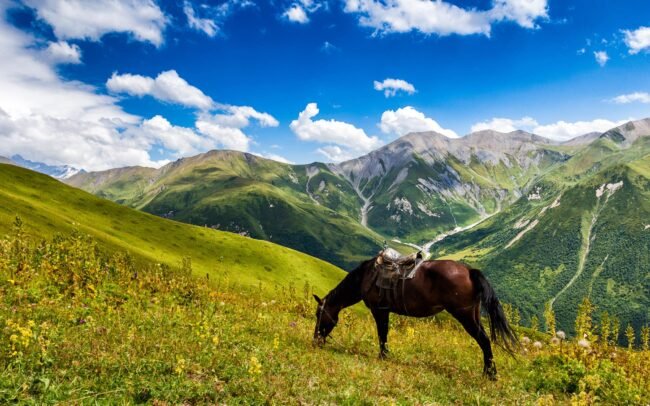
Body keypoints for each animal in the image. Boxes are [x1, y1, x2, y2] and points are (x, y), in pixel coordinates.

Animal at [312, 256, 519, 380]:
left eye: (319, 314)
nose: (315, 341)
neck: (366, 275)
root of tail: (469, 271)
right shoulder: (384, 311)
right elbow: (384, 334)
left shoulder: (380, 310)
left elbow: (382, 334)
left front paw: (383, 356)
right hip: (472, 314)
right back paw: (489, 372)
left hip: (465, 316)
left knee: (484, 340)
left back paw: (490, 374)